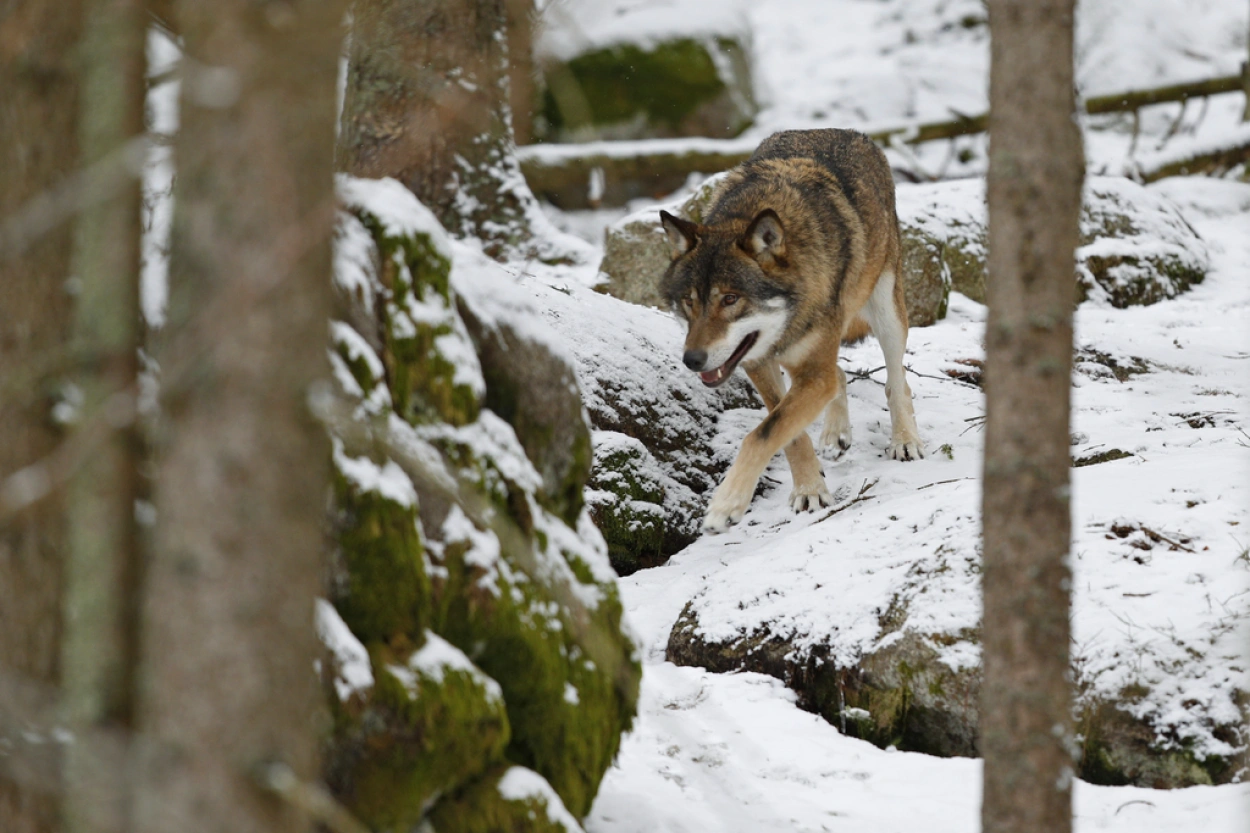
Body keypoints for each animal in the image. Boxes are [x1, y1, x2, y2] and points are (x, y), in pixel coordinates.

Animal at [660, 130, 925, 532]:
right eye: (690, 301)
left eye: (730, 299)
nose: (692, 360)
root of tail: (846, 132)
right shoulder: (759, 363)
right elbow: (786, 431)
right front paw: (809, 490)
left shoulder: (810, 372)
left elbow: (760, 435)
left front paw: (726, 504)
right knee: (840, 373)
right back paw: (835, 434)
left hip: (885, 310)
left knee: (896, 381)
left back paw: (905, 441)